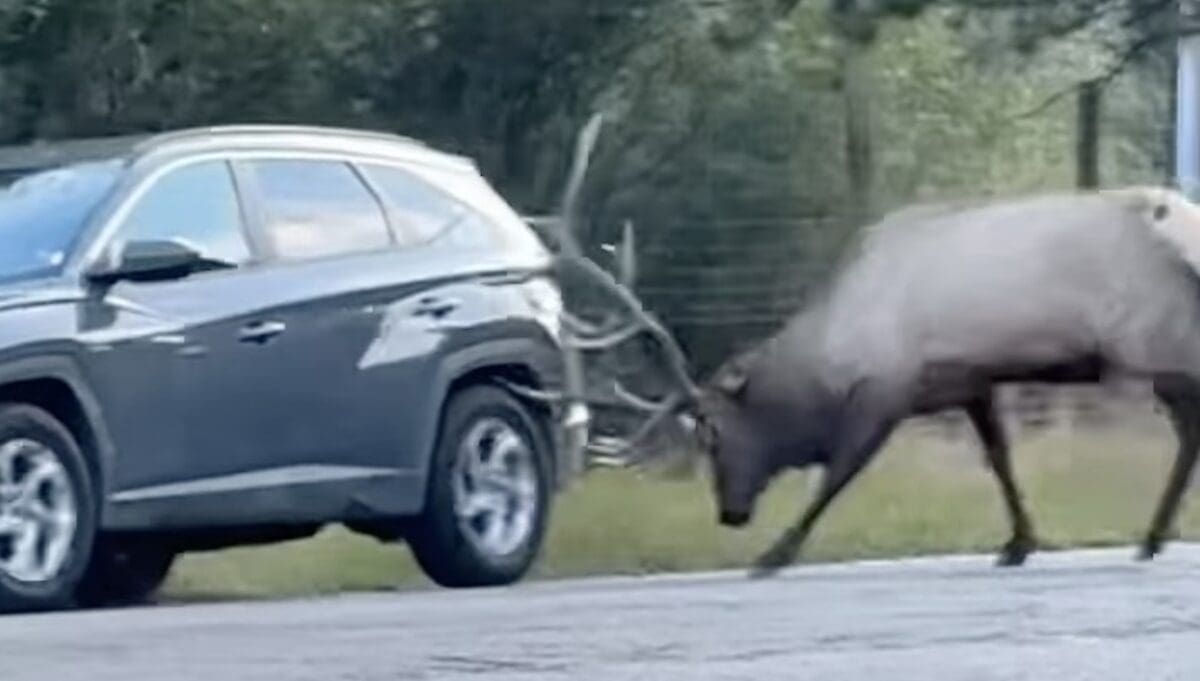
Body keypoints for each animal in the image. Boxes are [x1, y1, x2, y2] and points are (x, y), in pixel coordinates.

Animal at [523, 113, 1200, 580]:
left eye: (713, 432)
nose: (730, 514)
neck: (826, 354)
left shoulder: (886, 387)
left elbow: (836, 475)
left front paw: (775, 553)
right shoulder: (968, 382)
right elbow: (1000, 458)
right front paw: (1019, 542)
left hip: (1157, 341)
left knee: (1188, 431)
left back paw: (1153, 535)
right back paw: (1154, 534)